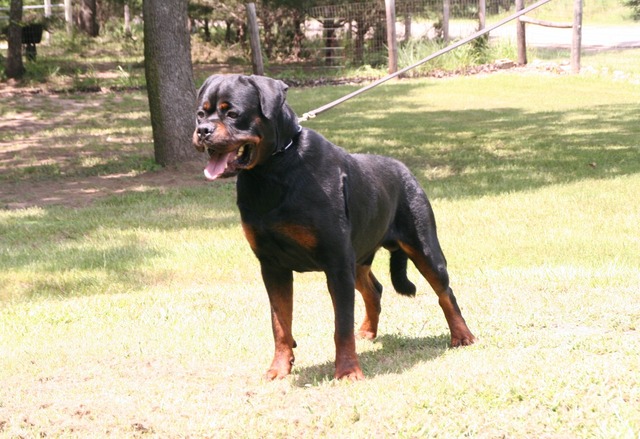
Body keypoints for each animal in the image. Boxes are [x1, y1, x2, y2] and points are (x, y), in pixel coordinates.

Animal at [192, 75, 472, 382]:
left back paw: (462, 336)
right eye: (201, 113)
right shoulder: (272, 265)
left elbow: (342, 325)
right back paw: (368, 331)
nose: (202, 130)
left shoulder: (336, 262)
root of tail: (405, 169)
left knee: (445, 292)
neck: (273, 169)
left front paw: (348, 371)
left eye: (232, 113)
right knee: (374, 289)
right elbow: (280, 323)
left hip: (423, 247)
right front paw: (279, 368)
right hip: (359, 258)